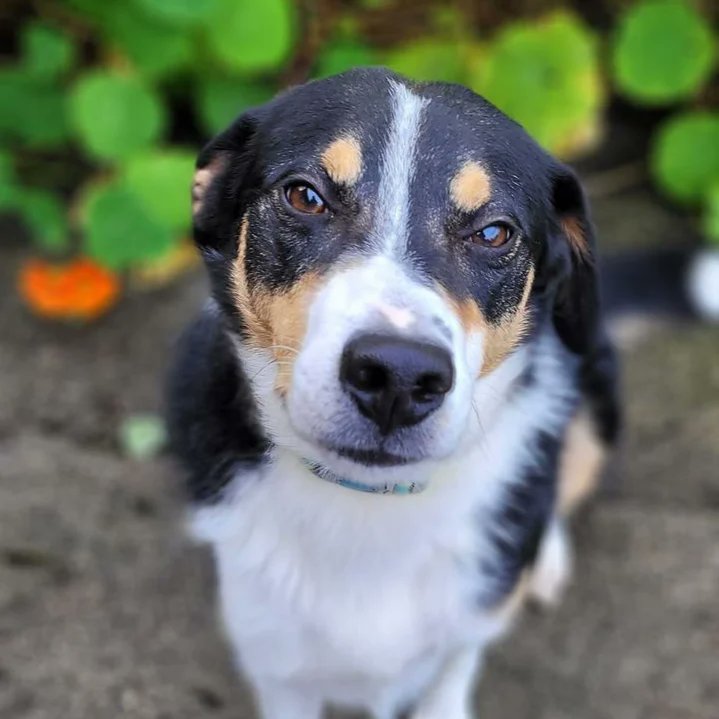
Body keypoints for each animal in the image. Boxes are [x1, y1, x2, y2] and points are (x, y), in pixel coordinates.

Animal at [167, 69, 719, 719]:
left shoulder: (469, 628)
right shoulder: (275, 663)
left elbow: (451, 673)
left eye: (494, 233)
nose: (399, 376)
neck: (371, 506)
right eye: (304, 196)